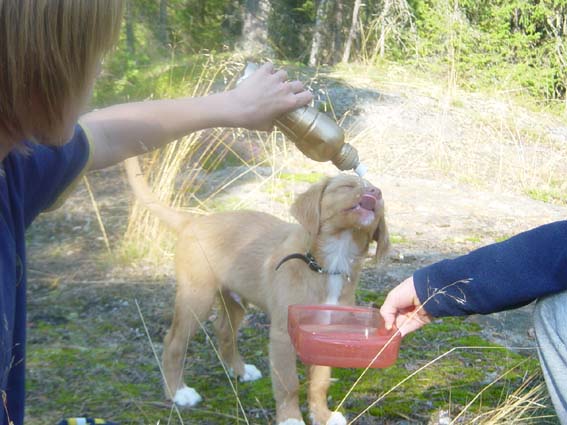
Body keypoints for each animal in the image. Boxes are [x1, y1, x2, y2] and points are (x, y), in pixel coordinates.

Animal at [125, 156, 390, 424]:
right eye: (347, 186)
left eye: (379, 194)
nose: (376, 192)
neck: (327, 265)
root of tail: (193, 221)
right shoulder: (283, 333)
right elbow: (288, 383)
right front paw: (290, 418)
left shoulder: (324, 333)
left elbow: (320, 382)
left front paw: (322, 415)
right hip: (196, 296)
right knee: (173, 342)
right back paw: (178, 392)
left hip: (234, 300)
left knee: (224, 330)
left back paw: (239, 371)